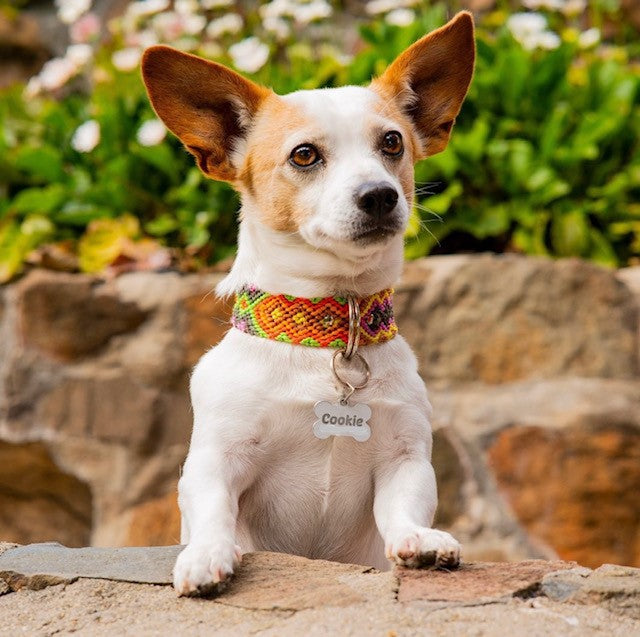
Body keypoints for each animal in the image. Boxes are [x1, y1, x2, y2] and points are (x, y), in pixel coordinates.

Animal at [142, 11, 478, 596]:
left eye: (392, 142)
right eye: (304, 155)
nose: (379, 194)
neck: (328, 334)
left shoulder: (405, 458)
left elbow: (403, 507)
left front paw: (419, 540)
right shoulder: (215, 460)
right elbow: (213, 510)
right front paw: (207, 555)